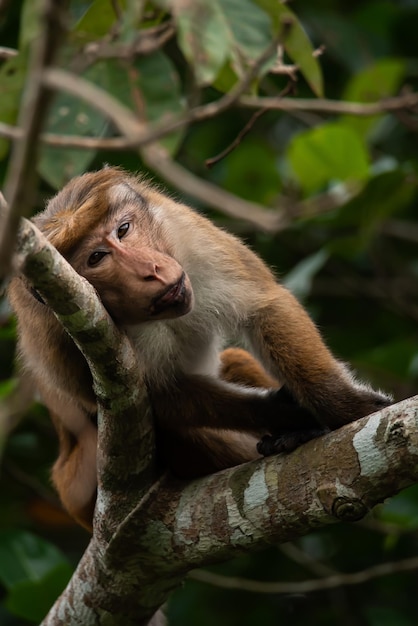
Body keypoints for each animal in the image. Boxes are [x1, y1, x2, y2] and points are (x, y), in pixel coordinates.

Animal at [7, 166, 392, 528]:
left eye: (123, 230)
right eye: (96, 257)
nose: (150, 269)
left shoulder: (184, 230)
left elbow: (263, 305)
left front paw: (339, 405)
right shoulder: (62, 332)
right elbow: (162, 398)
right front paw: (285, 414)